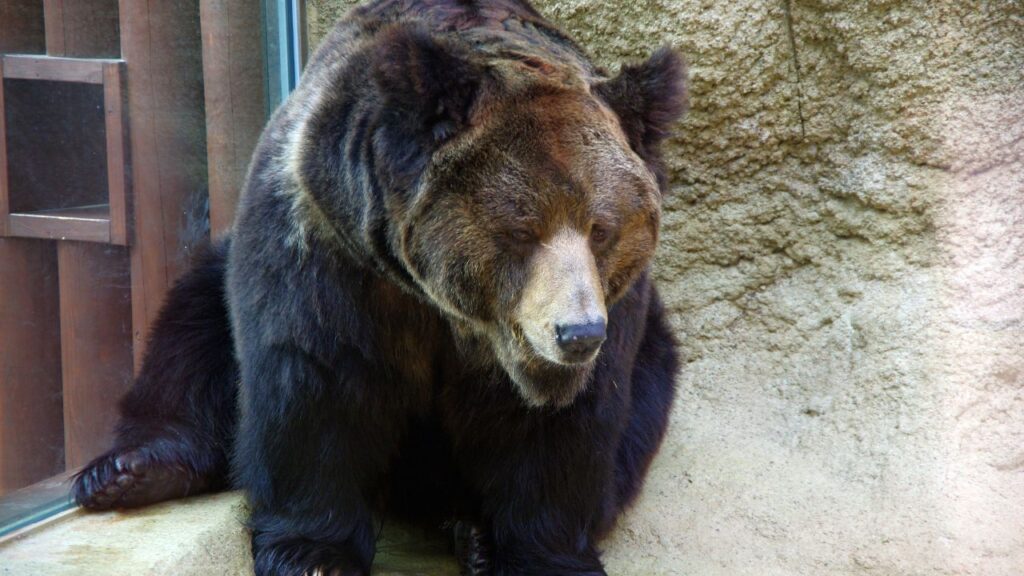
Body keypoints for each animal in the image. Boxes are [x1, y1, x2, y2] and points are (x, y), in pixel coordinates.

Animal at [72, 1, 687, 575]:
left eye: (601, 228)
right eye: (521, 229)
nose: (577, 333)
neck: (443, 302)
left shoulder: (606, 311)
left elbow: (560, 427)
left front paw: (544, 556)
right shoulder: (328, 245)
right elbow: (319, 382)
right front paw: (315, 553)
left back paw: (473, 534)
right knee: (190, 328)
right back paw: (130, 470)